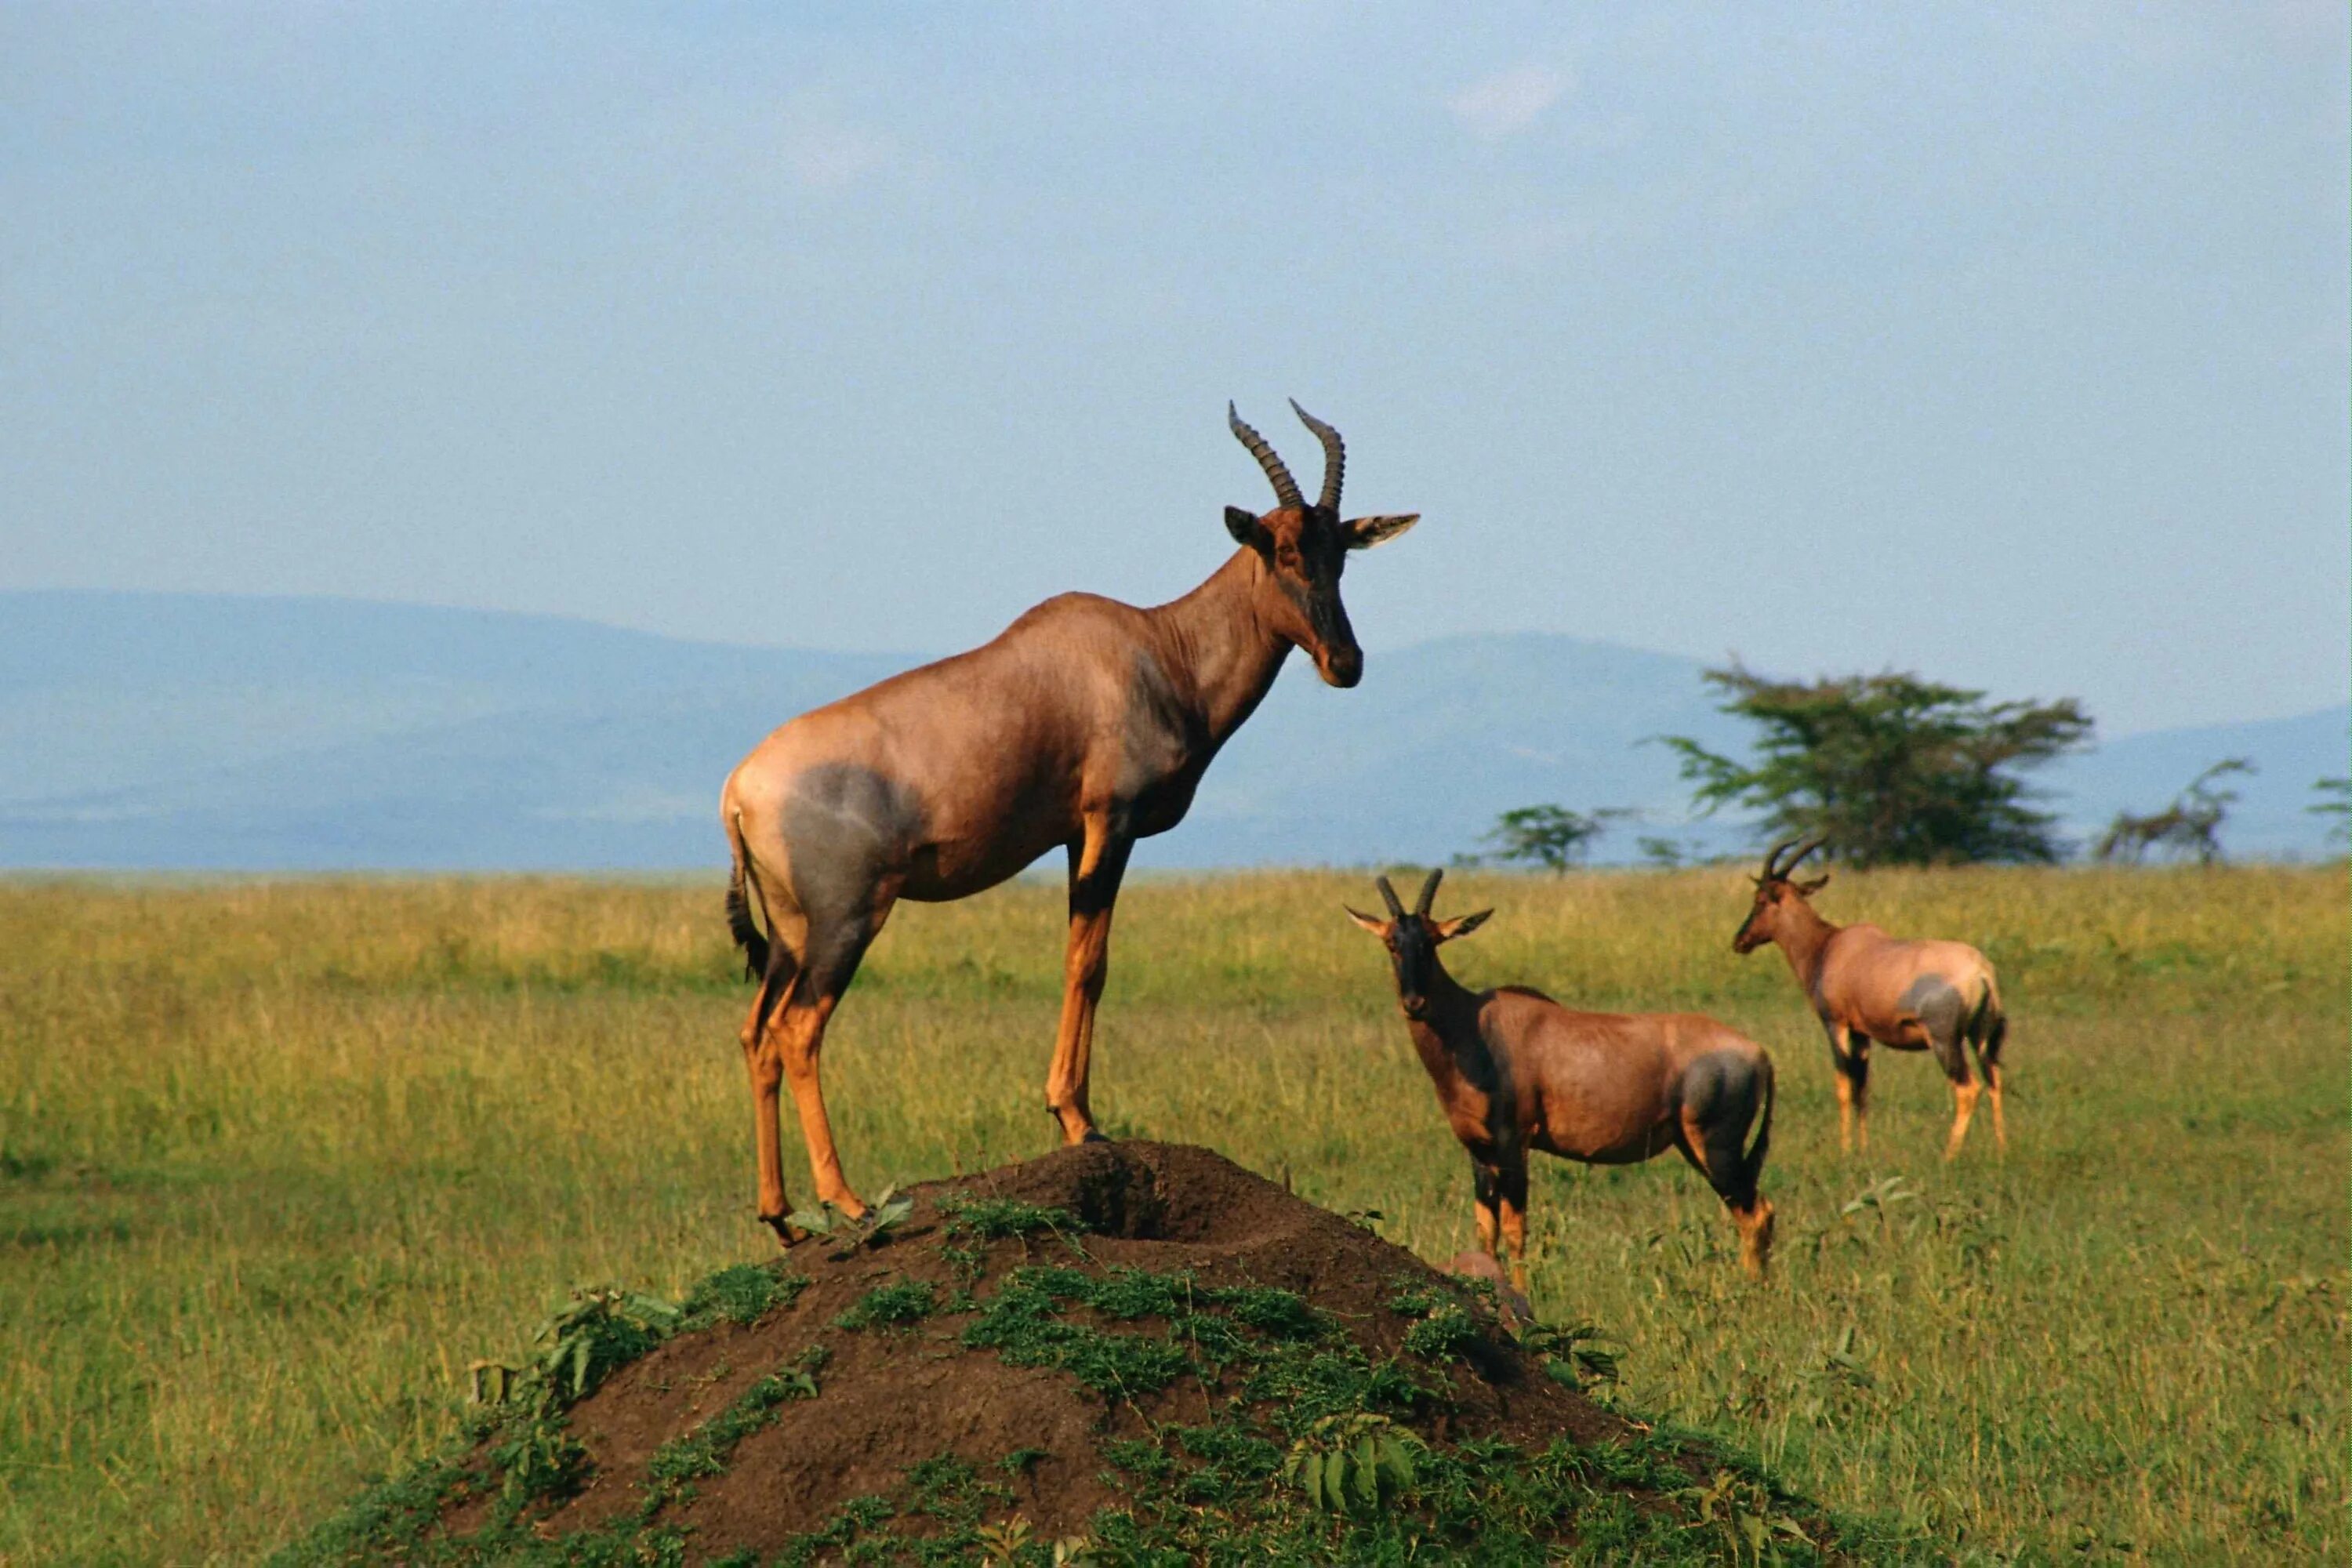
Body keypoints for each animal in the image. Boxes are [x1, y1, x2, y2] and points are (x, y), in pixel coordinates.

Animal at [715, 404, 1411, 1250]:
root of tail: (740, 789)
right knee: (799, 1029)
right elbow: (1090, 963)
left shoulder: (1080, 835)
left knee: (757, 1033)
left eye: (1339, 551)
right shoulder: (1112, 822)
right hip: (847, 918)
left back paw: (781, 1217)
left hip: (790, 929)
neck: (1153, 647)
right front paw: (1078, 1120)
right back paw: (848, 1202)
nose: (1346, 663)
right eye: (1278, 550)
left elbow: (1083, 957)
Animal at [1355, 869, 1769, 1288]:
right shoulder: (1478, 1150)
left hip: (1716, 1147)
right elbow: (1486, 1230)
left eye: (1433, 940)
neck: (1476, 1024)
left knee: (1756, 1212)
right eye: (1392, 942)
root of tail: (1757, 1052)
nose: (1415, 1004)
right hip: (1696, 1147)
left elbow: (1515, 1228)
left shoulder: (1513, 1144)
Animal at [1731, 841, 2004, 1161]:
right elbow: (1862, 1088)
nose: (1740, 941)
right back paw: (2002, 1150)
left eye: (1761, 900)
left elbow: (1843, 1084)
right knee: (1994, 1080)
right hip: (1980, 1036)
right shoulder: (1861, 1033)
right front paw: (1863, 1149)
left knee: (1968, 1088)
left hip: (1944, 1041)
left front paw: (1844, 1150)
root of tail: (1981, 971)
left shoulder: (1835, 1024)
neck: (1830, 946)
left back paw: (1948, 1156)